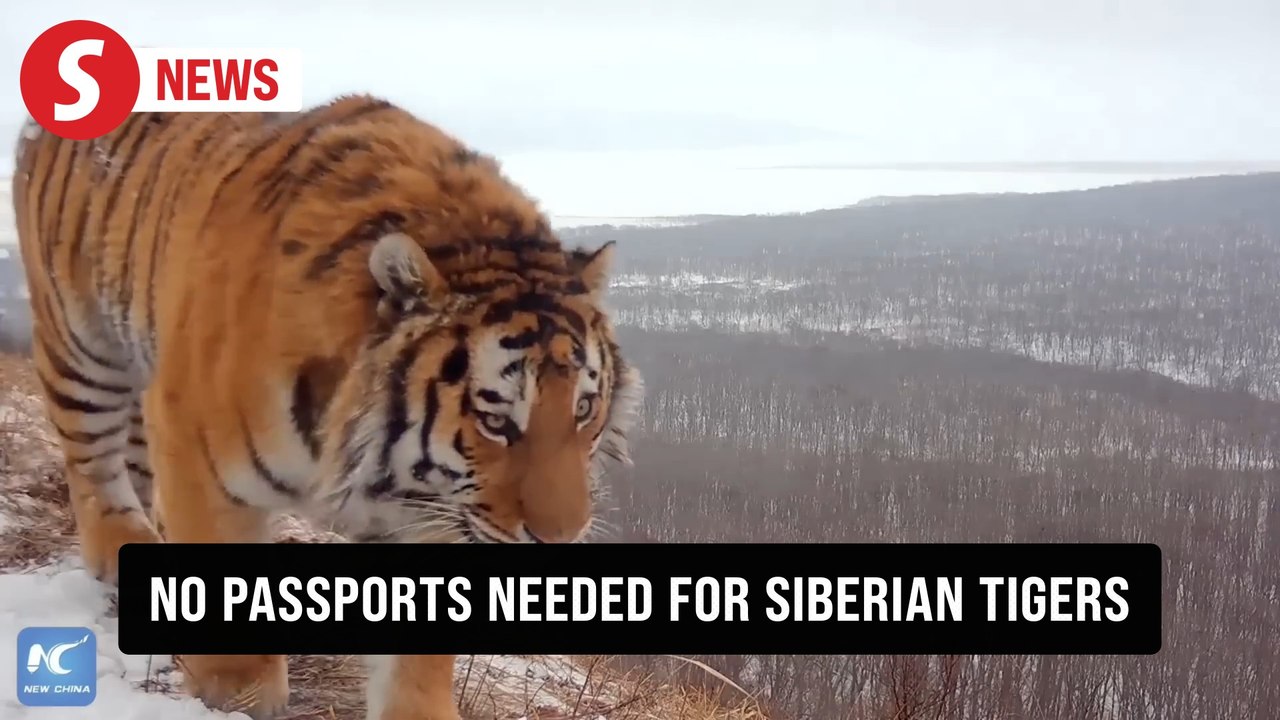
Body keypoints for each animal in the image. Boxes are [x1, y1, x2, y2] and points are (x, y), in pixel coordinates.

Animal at [10, 94, 643, 720]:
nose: (559, 542)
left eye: (584, 410)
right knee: (91, 461)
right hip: (79, 344)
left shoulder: (428, 514)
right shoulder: (195, 449)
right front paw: (234, 696)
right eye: (494, 421)